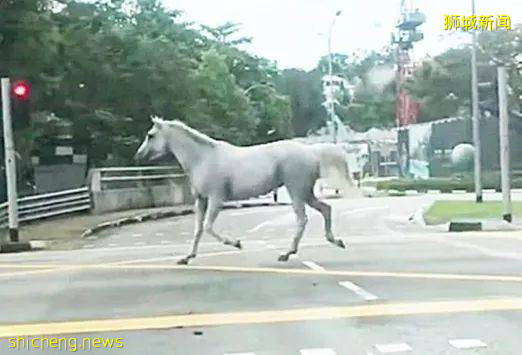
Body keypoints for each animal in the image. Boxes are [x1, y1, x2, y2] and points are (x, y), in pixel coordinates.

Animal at [134, 118, 350, 266]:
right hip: (305, 192)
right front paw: (186, 257)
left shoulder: (216, 198)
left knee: (302, 219)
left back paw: (286, 253)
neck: (203, 159)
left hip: (296, 190)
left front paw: (236, 243)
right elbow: (198, 230)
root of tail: (311, 152)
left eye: (150, 135)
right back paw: (336, 241)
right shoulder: (201, 200)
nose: (138, 155)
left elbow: (208, 227)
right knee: (326, 209)